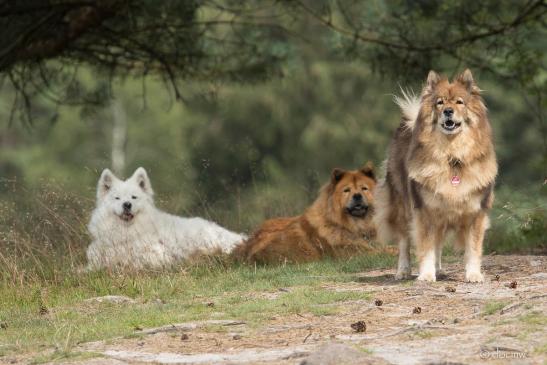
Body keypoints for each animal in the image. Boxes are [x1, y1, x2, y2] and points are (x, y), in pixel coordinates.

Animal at [87, 166, 246, 268]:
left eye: (134, 197)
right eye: (117, 198)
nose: (127, 205)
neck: (127, 233)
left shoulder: (157, 253)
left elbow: (135, 260)